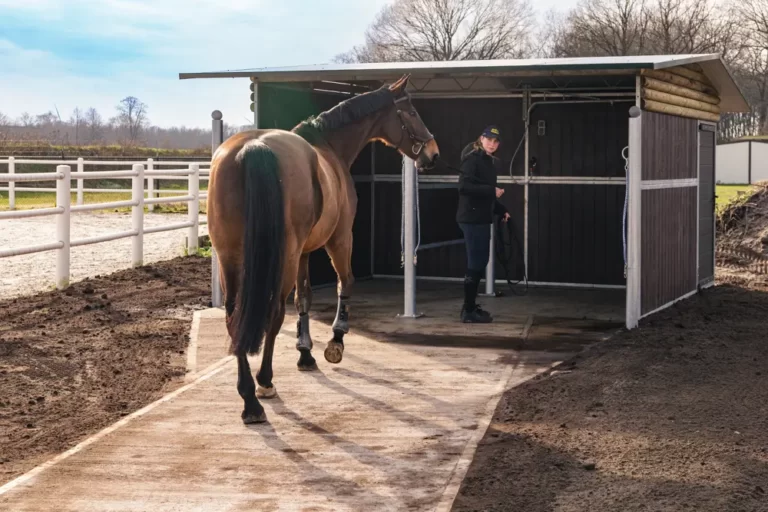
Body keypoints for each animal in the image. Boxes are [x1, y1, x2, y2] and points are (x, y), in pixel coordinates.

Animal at [207, 74, 440, 422]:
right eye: (411, 111)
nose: (433, 153)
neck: (329, 148)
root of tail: (252, 148)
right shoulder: (339, 238)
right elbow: (346, 283)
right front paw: (336, 341)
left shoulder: (304, 251)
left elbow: (305, 297)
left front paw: (305, 352)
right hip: (286, 257)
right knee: (274, 312)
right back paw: (263, 384)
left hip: (230, 257)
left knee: (234, 314)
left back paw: (248, 396)